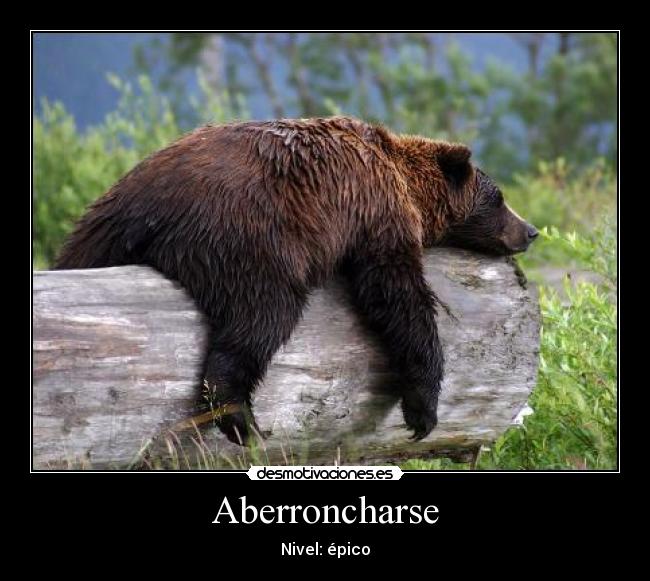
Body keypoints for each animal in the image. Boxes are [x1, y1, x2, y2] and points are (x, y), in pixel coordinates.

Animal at [55, 116, 538, 445]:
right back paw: (241, 419)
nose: (531, 230)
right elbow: (396, 295)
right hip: (247, 236)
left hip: (96, 232)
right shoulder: (377, 213)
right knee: (262, 315)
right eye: (499, 198)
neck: (403, 180)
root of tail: (146, 208)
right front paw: (422, 410)